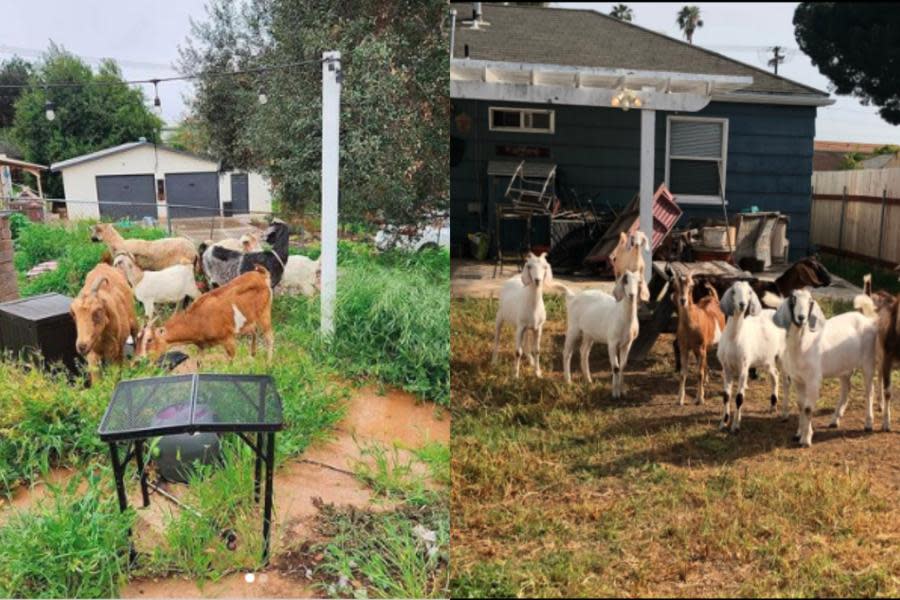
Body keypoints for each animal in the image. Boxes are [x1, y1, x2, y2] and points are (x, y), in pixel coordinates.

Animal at [135, 266, 272, 360]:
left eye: (149, 340)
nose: (140, 359)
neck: (198, 318)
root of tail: (261, 275)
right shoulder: (202, 347)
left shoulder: (228, 339)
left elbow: (231, 361)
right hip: (250, 319)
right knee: (254, 331)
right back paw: (252, 355)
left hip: (265, 313)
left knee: (269, 339)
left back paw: (268, 364)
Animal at [672, 274, 728, 406]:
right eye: (675, 286)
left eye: (691, 286)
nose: (683, 300)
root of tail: (712, 297)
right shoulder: (684, 347)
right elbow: (683, 374)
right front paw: (679, 399)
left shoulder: (700, 348)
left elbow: (699, 373)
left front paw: (700, 399)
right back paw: (706, 380)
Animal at [716, 282, 788, 432]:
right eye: (733, 291)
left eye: (749, 292)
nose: (742, 304)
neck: (734, 338)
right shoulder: (726, 367)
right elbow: (726, 396)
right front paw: (723, 423)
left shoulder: (744, 366)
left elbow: (739, 397)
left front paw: (735, 426)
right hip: (767, 359)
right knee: (775, 375)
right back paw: (773, 405)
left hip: (783, 356)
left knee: (786, 381)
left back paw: (785, 414)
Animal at [772, 288, 880, 448]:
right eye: (793, 300)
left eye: (810, 301)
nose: (801, 318)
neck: (803, 343)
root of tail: (866, 318)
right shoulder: (798, 379)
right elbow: (800, 405)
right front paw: (799, 433)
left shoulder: (813, 379)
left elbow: (808, 408)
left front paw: (806, 439)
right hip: (844, 368)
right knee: (846, 389)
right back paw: (834, 420)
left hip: (868, 362)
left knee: (869, 391)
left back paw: (868, 423)